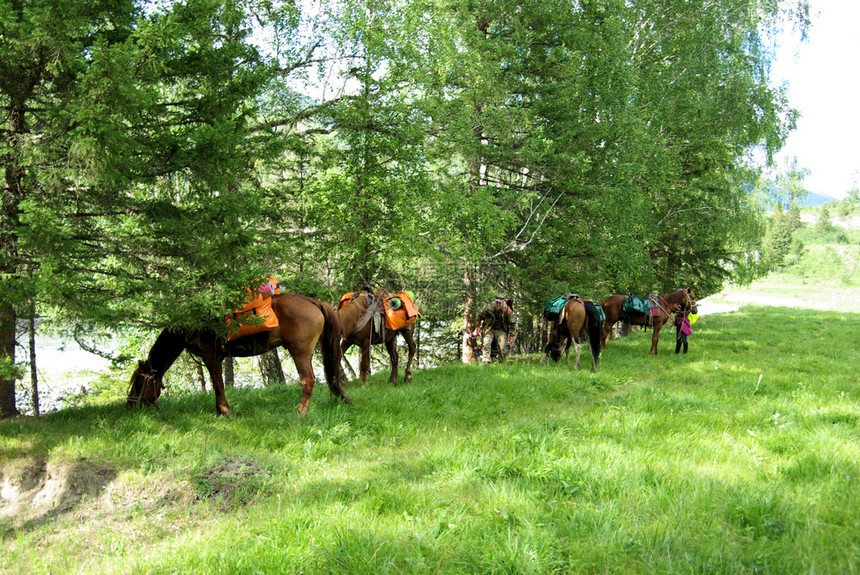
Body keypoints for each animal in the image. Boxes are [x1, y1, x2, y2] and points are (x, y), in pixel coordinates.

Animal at [126, 294, 348, 416]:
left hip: (299, 351)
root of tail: (313, 302)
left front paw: (224, 410)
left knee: (307, 380)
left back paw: (300, 414)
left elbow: (217, 383)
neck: (195, 325)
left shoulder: (210, 355)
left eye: (138, 383)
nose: (130, 405)